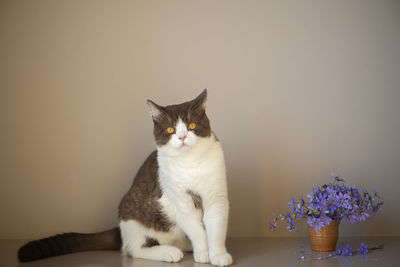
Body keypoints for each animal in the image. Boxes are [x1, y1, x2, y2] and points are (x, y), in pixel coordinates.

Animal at [17, 90, 233, 267]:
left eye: (192, 125)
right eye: (170, 130)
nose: (181, 137)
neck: (191, 163)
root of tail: (121, 229)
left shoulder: (216, 195)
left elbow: (216, 224)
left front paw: (218, 255)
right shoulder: (180, 200)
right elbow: (196, 228)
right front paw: (203, 253)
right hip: (134, 215)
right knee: (133, 249)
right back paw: (170, 252)